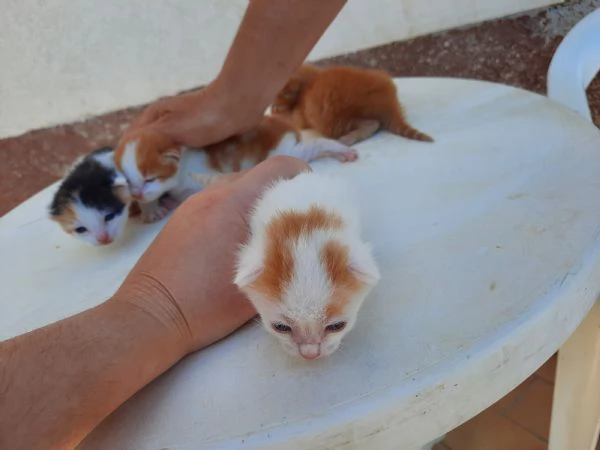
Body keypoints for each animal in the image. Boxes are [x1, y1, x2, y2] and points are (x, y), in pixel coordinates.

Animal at [115, 114, 358, 223]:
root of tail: (283, 123)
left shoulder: (205, 175)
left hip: (285, 151)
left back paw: (341, 149)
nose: (137, 193)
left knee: (314, 145)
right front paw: (151, 208)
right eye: (129, 183)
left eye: (150, 178)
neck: (181, 171)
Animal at [270, 63, 432, 146]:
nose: (272, 107)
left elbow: (293, 119)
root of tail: (389, 106)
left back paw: (348, 139)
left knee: (372, 123)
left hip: (334, 118)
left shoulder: (300, 115)